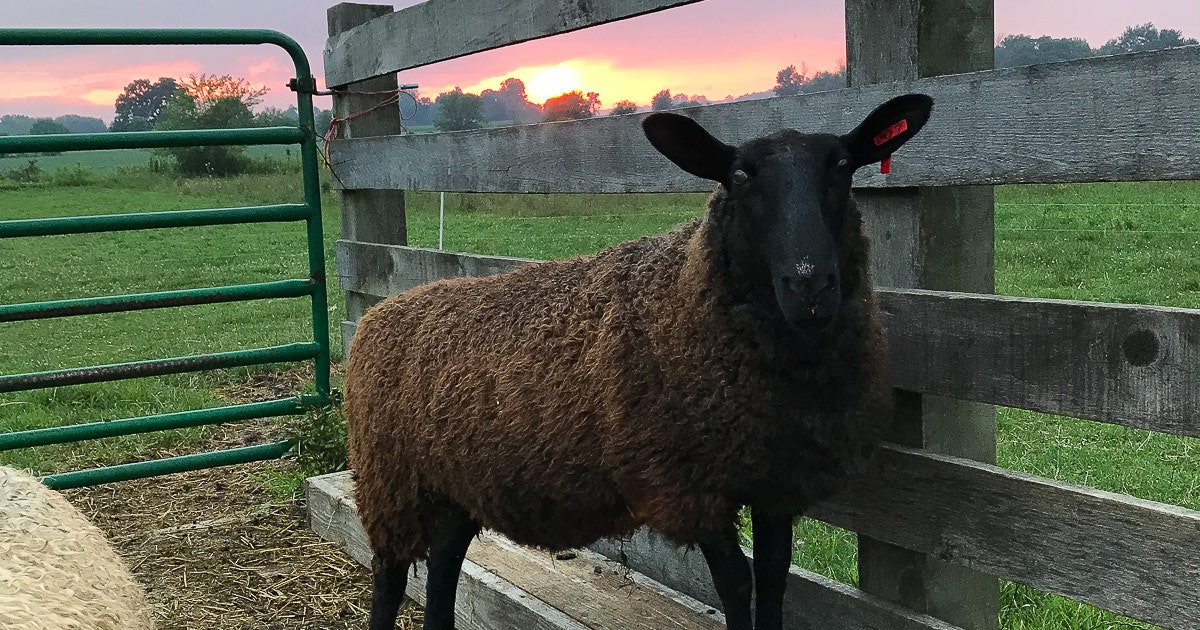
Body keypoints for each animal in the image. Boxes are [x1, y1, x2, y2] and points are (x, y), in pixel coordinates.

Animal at [345, 93, 934, 630]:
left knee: (444, 568)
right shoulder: (688, 484)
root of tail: (379, 313)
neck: (684, 293)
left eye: (843, 166)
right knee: (389, 581)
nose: (810, 285)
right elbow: (735, 583)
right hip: (390, 484)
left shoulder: (776, 481)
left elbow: (772, 579)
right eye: (739, 176)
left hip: (454, 489)